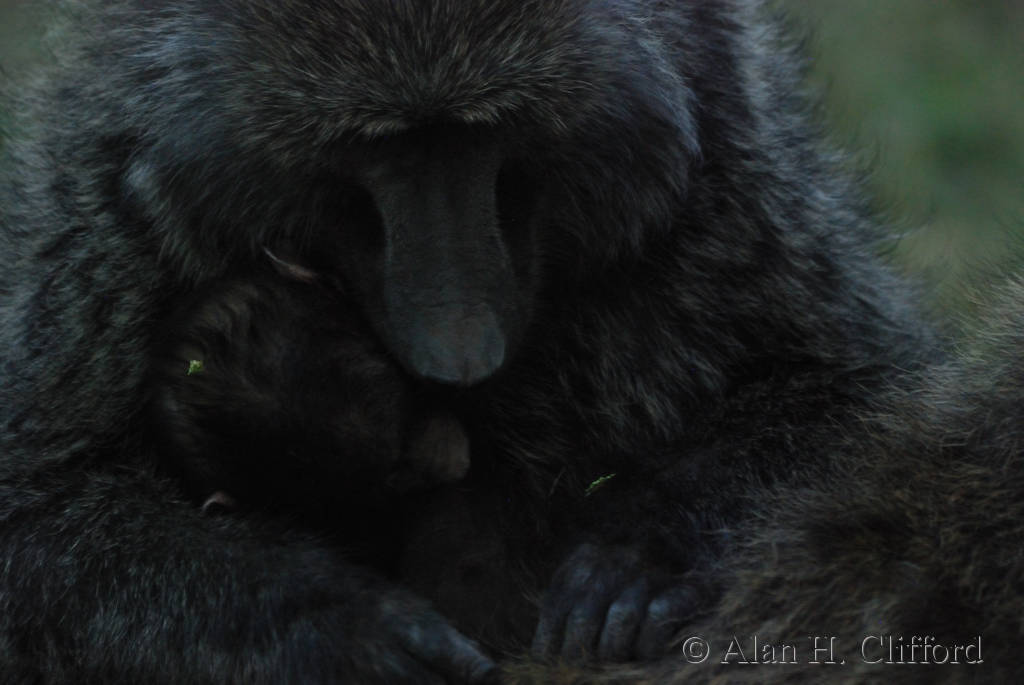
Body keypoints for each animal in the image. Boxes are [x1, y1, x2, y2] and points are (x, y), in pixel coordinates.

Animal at [0, 1, 937, 682]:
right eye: (381, 146)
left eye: (477, 135)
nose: (460, 352)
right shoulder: (115, 204)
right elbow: (38, 515)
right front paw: (332, 624)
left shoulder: (725, 170)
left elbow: (866, 397)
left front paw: (645, 548)